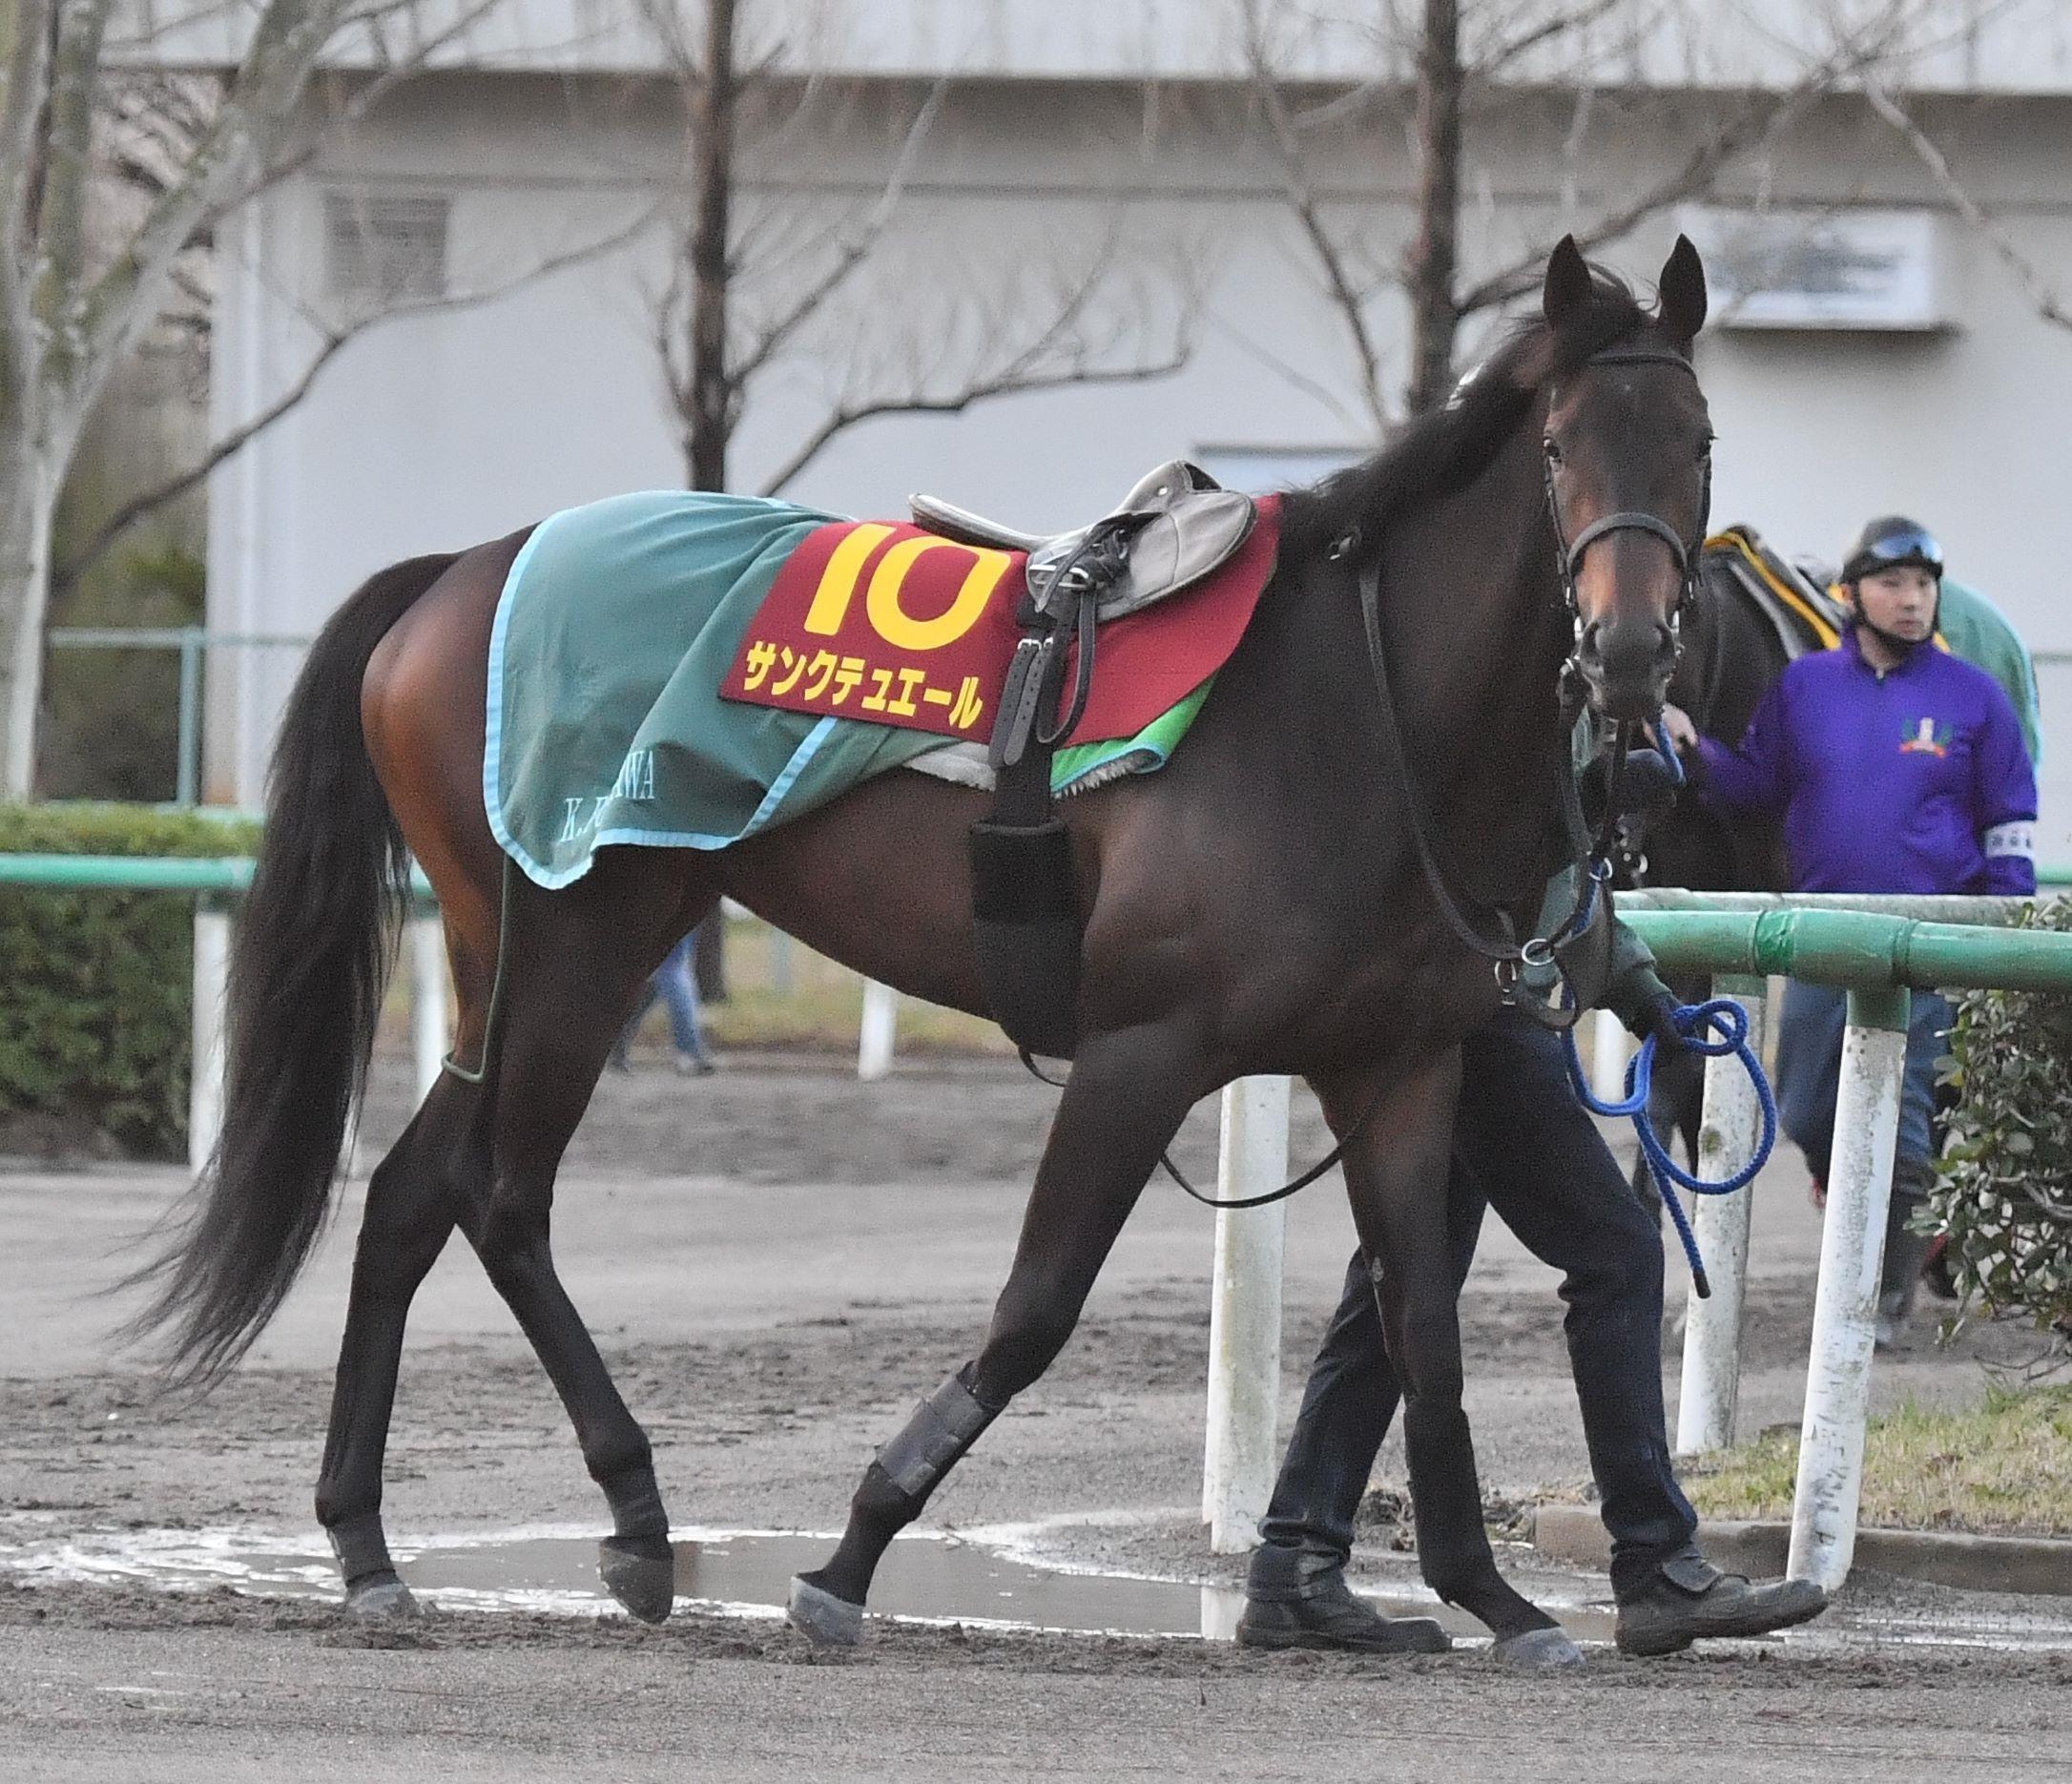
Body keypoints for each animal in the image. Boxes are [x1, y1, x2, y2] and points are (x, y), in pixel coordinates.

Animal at [134, 236, 1715, 1657]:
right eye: (1562, 444)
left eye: (1696, 443)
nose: (1632, 652)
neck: (1357, 712)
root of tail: (457, 569)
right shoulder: (1145, 1048)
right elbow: (1033, 1311)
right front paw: (851, 1549)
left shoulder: (1396, 1064)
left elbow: (1422, 1328)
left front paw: (1495, 1595)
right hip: (576, 938)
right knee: (500, 1194)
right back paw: (629, 1512)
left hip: (526, 949)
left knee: (416, 1192)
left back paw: (368, 1539)